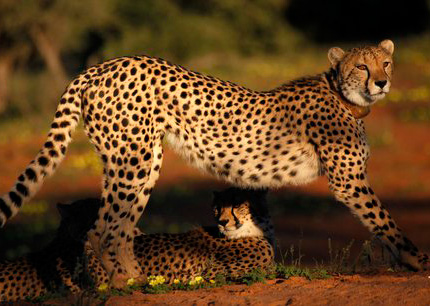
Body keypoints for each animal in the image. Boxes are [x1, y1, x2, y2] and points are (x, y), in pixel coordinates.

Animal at [0, 39, 428, 286]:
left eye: (386, 63)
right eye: (361, 66)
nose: (382, 82)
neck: (344, 95)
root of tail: (102, 65)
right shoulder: (349, 180)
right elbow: (384, 221)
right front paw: (416, 260)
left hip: (140, 161)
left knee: (117, 225)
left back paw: (138, 280)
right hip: (133, 159)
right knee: (102, 228)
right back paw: (118, 285)